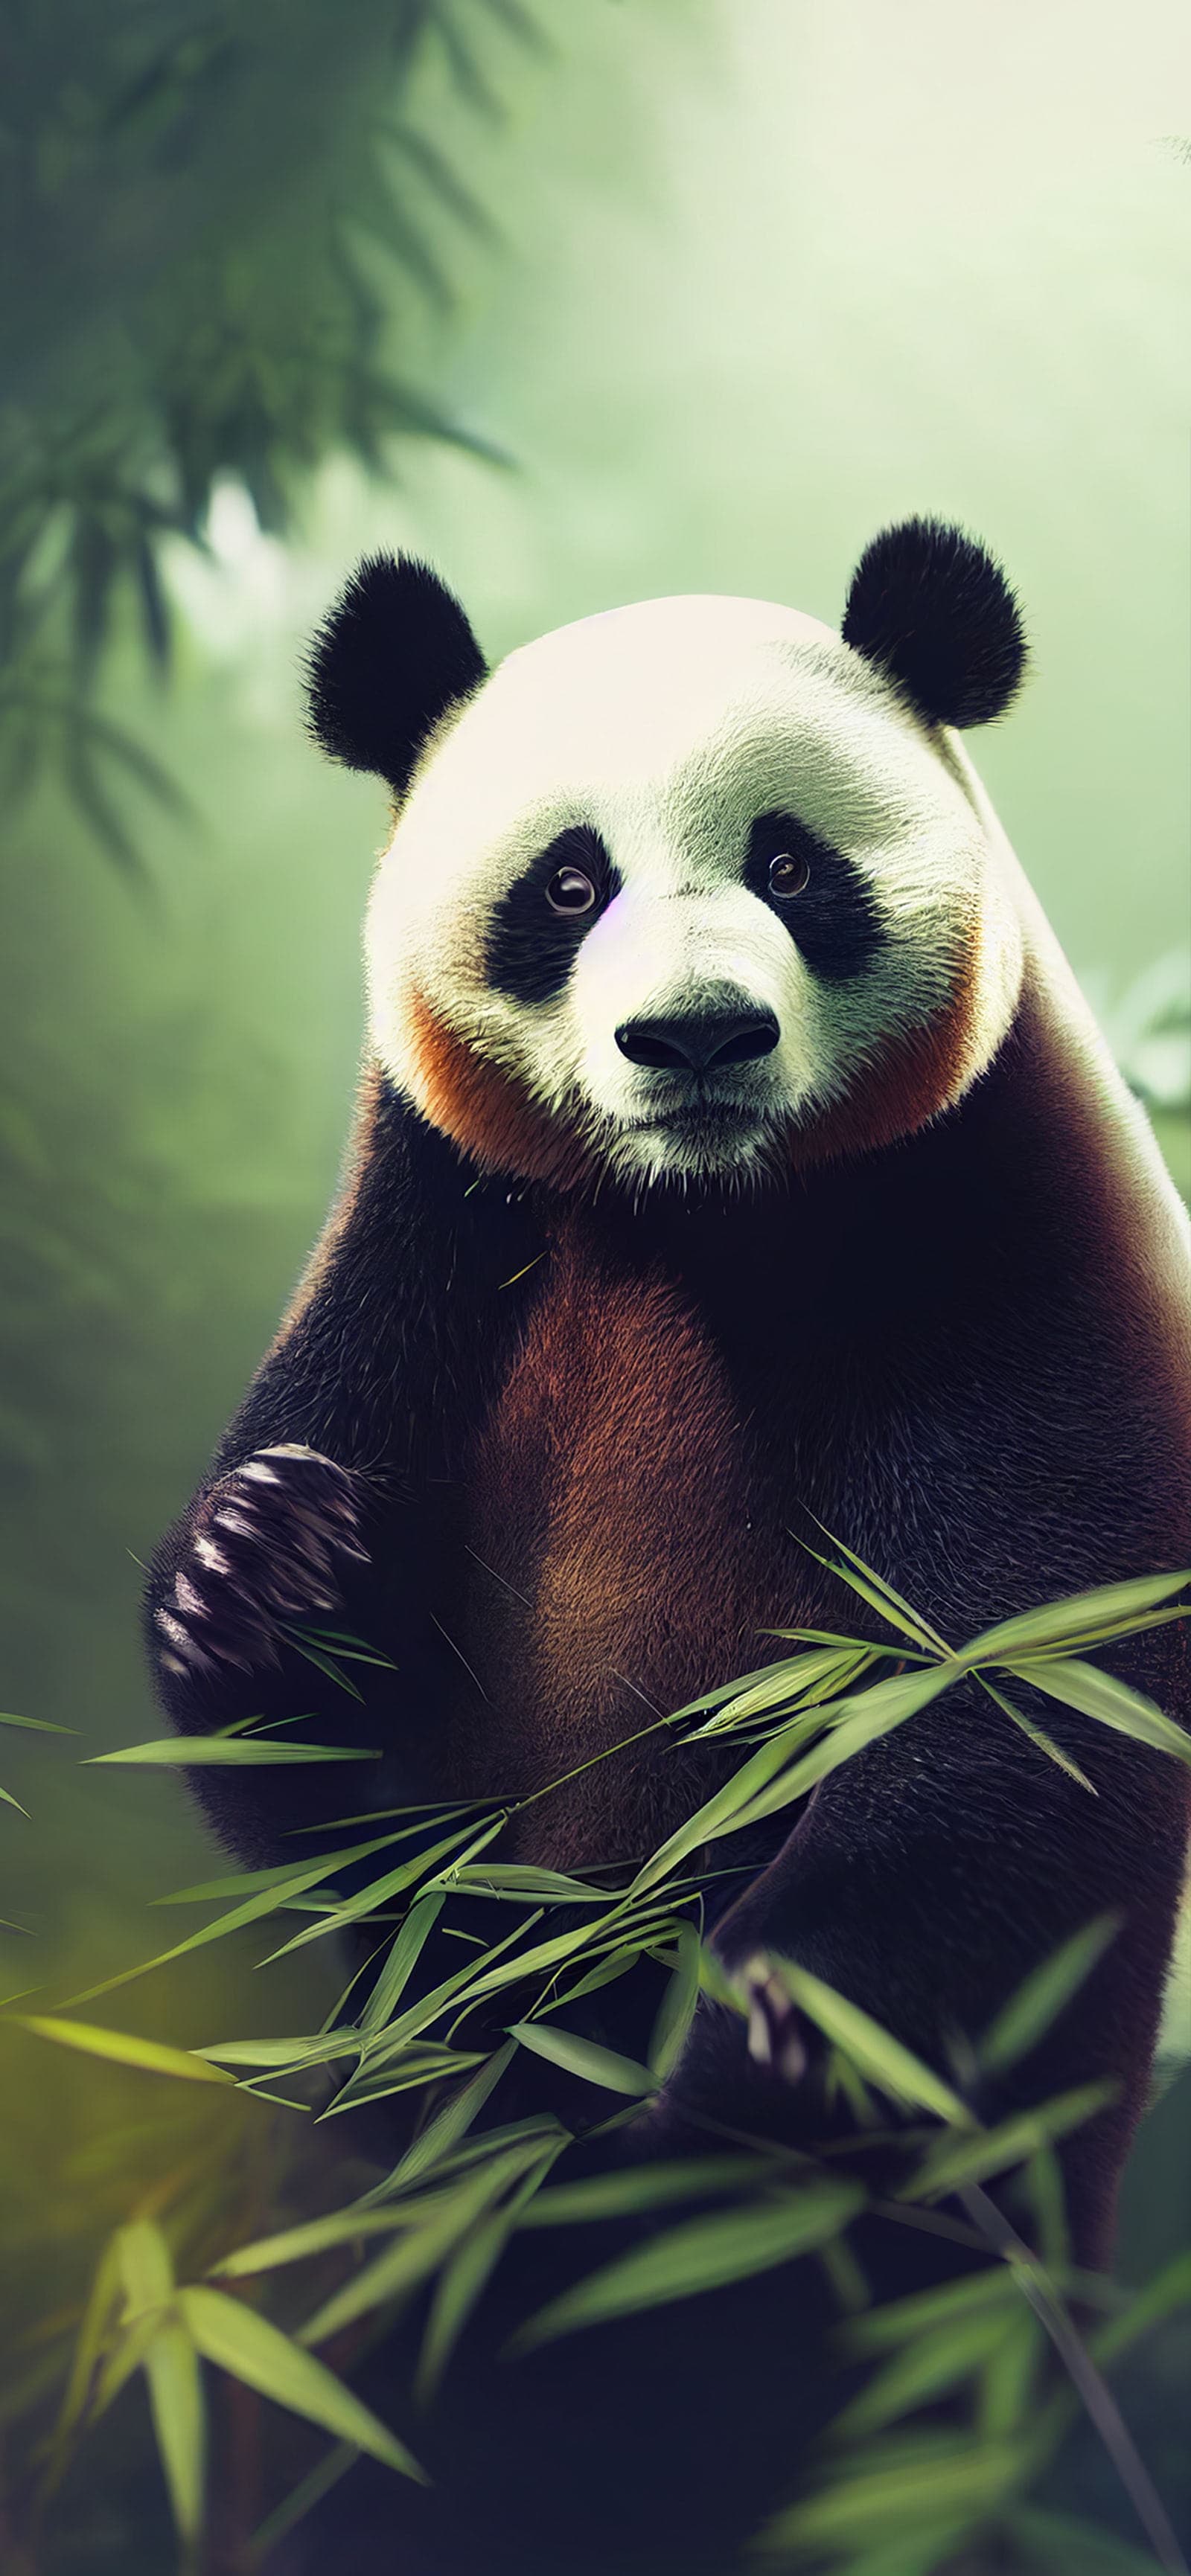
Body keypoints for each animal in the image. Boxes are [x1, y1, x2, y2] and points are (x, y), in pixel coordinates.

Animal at [146, 519, 1191, 2576]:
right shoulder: (440, 1243)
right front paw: (260, 1568)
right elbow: (339, 1825)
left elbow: (1003, 1712)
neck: (696, 1218)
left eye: (790, 865)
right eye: (569, 883)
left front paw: (776, 2043)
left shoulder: (994, 1240)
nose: (693, 1036)